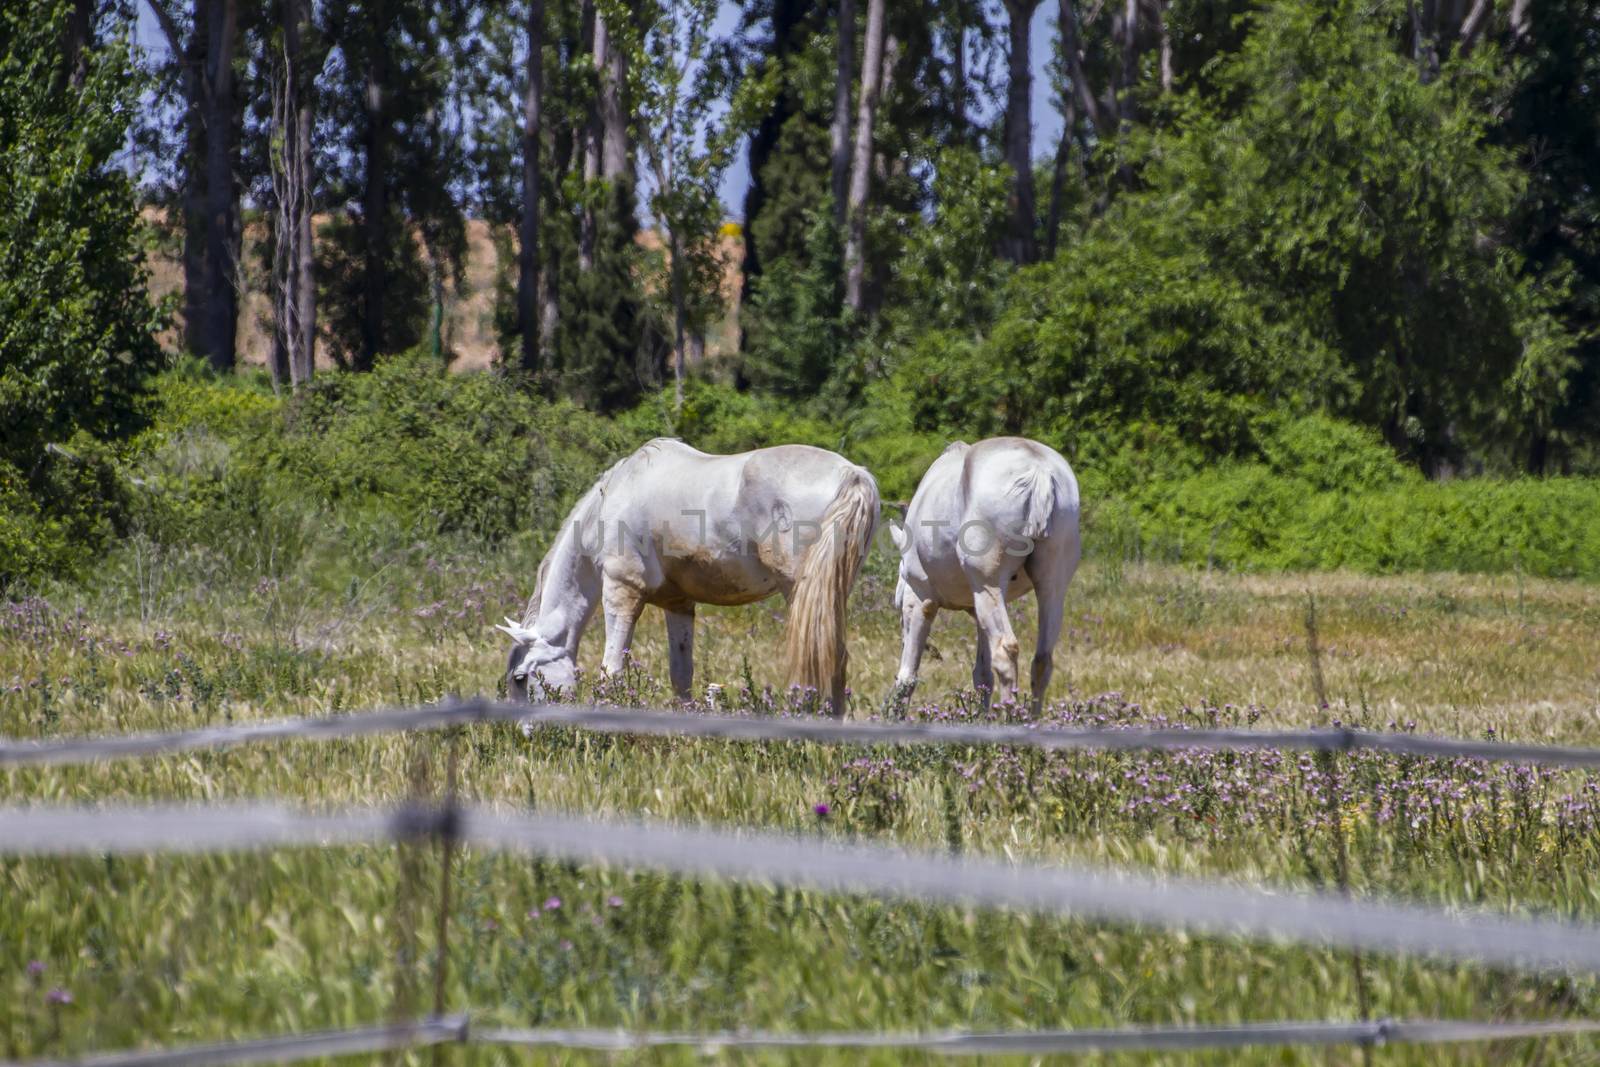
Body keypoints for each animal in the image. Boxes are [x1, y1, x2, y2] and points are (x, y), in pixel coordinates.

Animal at [496, 435, 876, 716]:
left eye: (520, 677)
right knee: (836, 656)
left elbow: (611, 669)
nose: (529, 733)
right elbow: (681, 676)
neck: (609, 506)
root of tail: (852, 474)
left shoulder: (622, 591)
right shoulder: (678, 605)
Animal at [883, 435, 1081, 716]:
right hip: (1050, 587)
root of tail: (1038, 470)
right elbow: (982, 675)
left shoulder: (920, 598)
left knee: (1006, 652)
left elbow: (907, 676)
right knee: (1042, 659)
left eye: (901, 570)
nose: (896, 599)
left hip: (989, 587)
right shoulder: (979, 610)